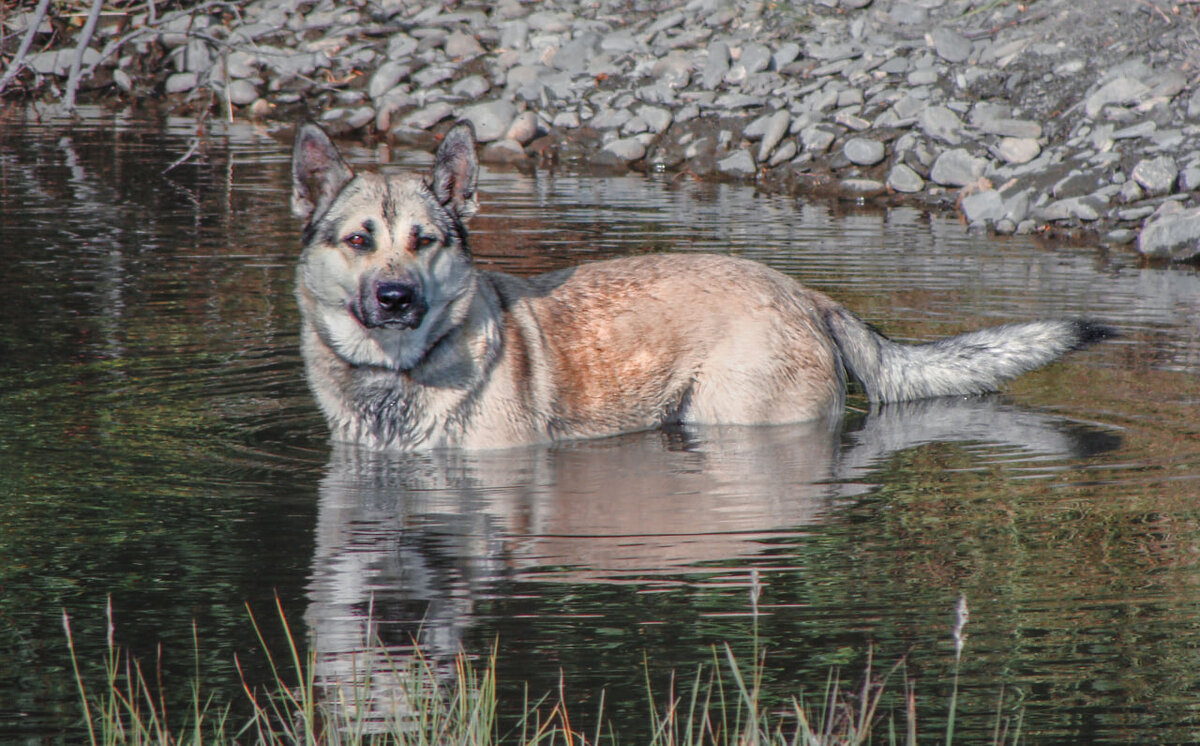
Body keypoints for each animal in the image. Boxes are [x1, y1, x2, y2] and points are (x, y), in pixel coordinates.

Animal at [290, 119, 1113, 453]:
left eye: (423, 241)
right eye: (359, 240)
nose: (396, 299)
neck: (398, 375)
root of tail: (809, 296)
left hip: (734, 415)